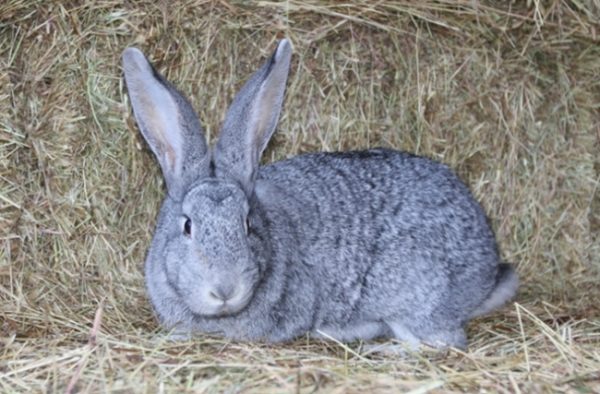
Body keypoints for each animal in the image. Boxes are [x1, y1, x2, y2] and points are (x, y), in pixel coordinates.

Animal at [120, 38, 516, 350]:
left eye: (248, 224)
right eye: (187, 226)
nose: (224, 289)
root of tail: (486, 266)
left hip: (414, 296)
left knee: (443, 341)